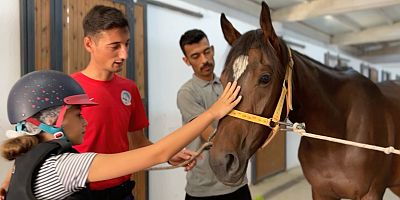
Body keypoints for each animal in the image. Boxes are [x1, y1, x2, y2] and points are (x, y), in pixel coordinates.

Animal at [208, 1, 400, 200]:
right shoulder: (320, 191)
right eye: (223, 79)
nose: (221, 162)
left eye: (265, 78)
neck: (336, 138)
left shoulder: (372, 193)